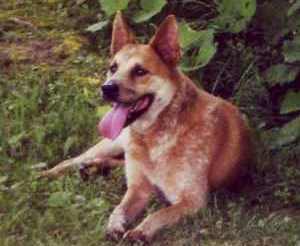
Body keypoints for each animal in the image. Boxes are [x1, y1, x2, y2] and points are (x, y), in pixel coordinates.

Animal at [41, 13, 253, 242]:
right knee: (74, 159)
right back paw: (49, 173)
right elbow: (119, 208)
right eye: (113, 68)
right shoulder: (137, 190)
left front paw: (140, 231)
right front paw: (114, 225)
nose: (106, 88)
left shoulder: (192, 200)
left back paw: (94, 167)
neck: (153, 137)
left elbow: (159, 213)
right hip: (113, 143)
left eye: (140, 71)